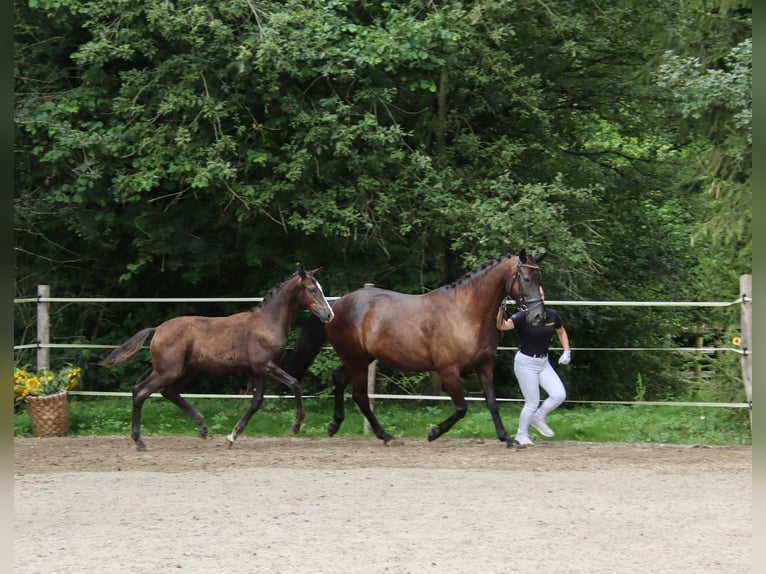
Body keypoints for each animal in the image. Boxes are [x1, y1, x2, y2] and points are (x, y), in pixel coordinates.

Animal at [98, 268, 332, 452]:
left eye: (320, 288)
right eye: (312, 289)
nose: (328, 314)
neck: (266, 323)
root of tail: (157, 329)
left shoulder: (258, 370)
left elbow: (256, 401)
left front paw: (232, 437)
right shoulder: (266, 365)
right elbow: (294, 383)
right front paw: (296, 425)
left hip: (188, 369)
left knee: (169, 392)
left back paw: (202, 428)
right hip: (169, 370)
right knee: (140, 391)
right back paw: (139, 442)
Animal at [288, 252, 544, 450]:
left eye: (539, 278)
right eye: (527, 278)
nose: (538, 316)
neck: (466, 312)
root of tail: (335, 307)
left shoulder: (485, 365)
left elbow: (491, 402)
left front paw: (507, 439)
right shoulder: (448, 371)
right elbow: (462, 408)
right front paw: (433, 433)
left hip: (360, 359)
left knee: (340, 380)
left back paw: (335, 424)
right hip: (356, 360)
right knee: (360, 396)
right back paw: (386, 436)